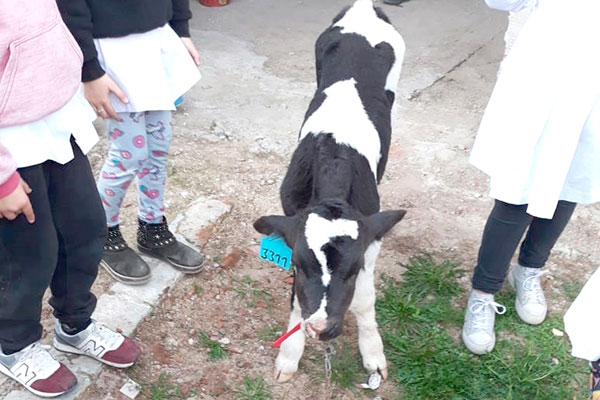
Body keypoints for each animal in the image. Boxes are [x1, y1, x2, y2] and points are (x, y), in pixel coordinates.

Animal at [253, 0, 406, 383]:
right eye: (299, 263)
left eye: (352, 269)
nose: (321, 328)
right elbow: (297, 299)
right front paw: (289, 356)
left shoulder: (371, 238)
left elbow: (364, 299)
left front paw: (373, 353)